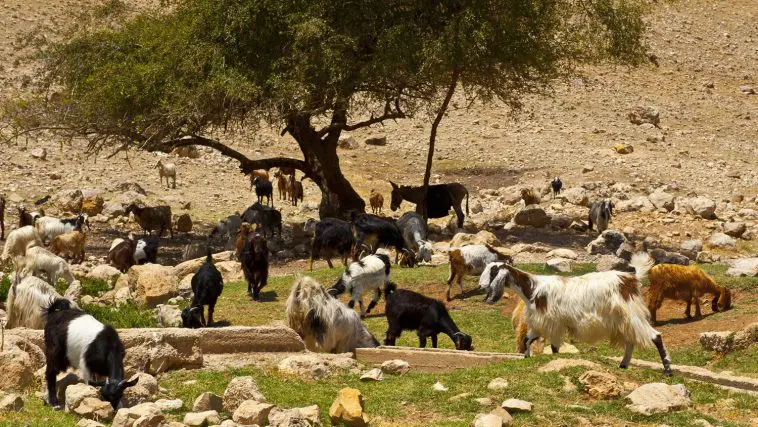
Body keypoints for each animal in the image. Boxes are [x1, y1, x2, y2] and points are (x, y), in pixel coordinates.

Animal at [485, 252, 673, 375]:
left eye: (493, 272)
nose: (482, 287)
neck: (532, 288)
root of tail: (631, 279)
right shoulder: (543, 324)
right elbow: (529, 340)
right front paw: (527, 357)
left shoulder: (551, 323)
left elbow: (550, 346)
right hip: (624, 319)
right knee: (630, 340)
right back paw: (623, 364)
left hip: (633, 315)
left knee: (655, 336)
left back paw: (668, 370)